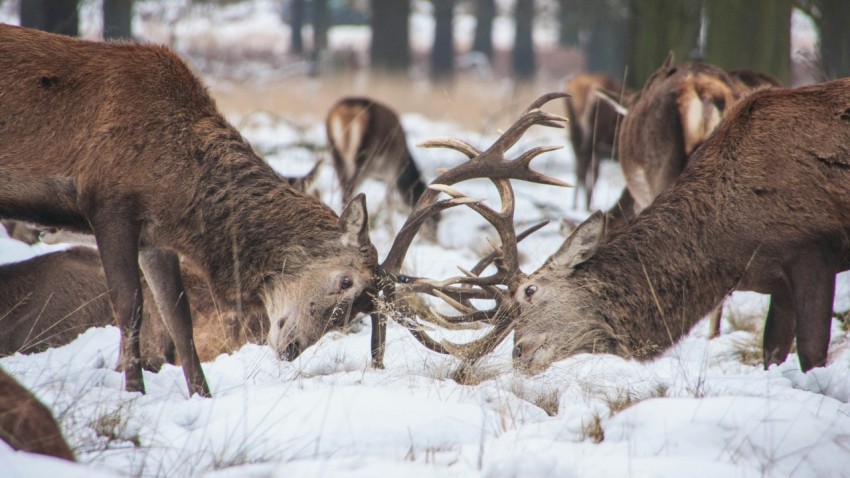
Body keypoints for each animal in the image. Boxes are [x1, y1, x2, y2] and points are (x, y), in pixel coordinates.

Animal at [0, 24, 377, 397]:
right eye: (346, 281)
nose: (292, 348)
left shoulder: (155, 236)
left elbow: (178, 317)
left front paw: (201, 394)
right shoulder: (109, 205)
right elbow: (129, 306)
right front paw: (135, 392)